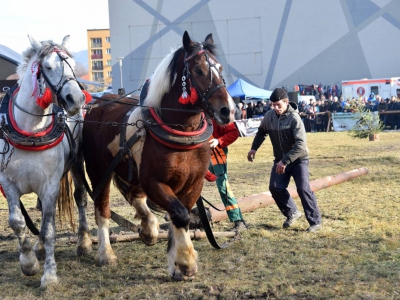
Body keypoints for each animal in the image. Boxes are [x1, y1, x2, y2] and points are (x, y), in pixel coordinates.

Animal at [0, 36, 92, 288]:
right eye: (48, 67)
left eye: (72, 64)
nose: (76, 98)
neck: (30, 132)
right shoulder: (8, 183)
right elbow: (17, 222)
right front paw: (28, 263)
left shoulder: (50, 185)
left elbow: (50, 230)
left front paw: (49, 275)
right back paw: (39, 248)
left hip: (77, 163)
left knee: (80, 198)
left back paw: (83, 242)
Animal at [83, 31, 236, 280]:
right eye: (198, 70)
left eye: (220, 68)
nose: (228, 110)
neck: (181, 131)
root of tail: (98, 103)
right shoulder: (155, 182)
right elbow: (181, 215)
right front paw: (185, 262)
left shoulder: (193, 184)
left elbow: (179, 216)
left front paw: (176, 263)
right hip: (99, 171)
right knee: (102, 209)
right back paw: (105, 253)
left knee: (136, 196)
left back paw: (149, 229)